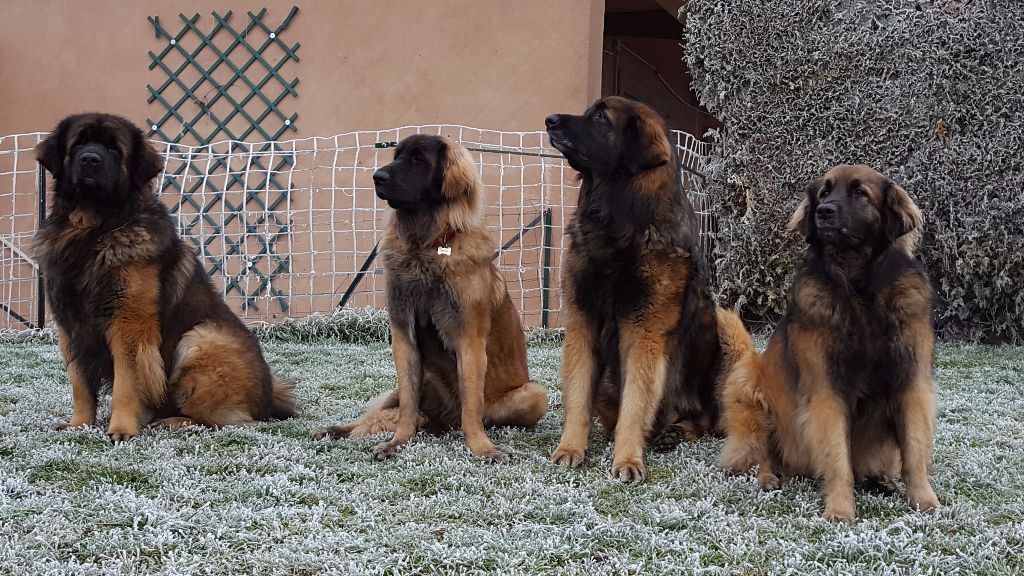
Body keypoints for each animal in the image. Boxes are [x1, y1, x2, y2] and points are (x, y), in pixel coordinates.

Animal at [34, 112, 294, 436]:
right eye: (78, 144)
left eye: (114, 148)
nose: (90, 159)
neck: (93, 227)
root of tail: (270, 396)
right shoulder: (71, 326)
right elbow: (80, 383)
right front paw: (79, 424)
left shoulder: (129, 323)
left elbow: (126, 383)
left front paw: (122, 429)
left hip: (202, 338)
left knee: (220, 419)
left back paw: (174, 421)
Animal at [311, 132, 548, 459]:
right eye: (396, 156)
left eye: (418, 159)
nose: (377, 177)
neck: (425, 247)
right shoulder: (404, 339)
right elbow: (408, 407)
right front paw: (398, 441)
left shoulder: (469, 341)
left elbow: (471, 406)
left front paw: (482, 448)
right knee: (377, 415)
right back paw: (337, 430)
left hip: (535, 395)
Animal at [544, 95, 737, 479]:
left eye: (601, 117)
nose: (550, 120)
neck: (618, 223)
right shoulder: (583, 322)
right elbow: (578, 395)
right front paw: (570, 449)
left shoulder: (643, 331)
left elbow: (635, 404)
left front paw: (628, 460)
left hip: (727, 340)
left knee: (703, 421)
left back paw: (674, 431)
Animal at [716, 162, 937, 520]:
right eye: (824, 192)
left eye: (860, 193)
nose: (824, 212)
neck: (859, 285)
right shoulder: (826, 388)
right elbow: (837, 457)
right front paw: (840, 508)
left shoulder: (911, 382)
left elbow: (914, 451)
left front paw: (924, 500)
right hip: (749, 384)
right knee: (763, 452)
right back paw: (770, 476)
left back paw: (882, 479)